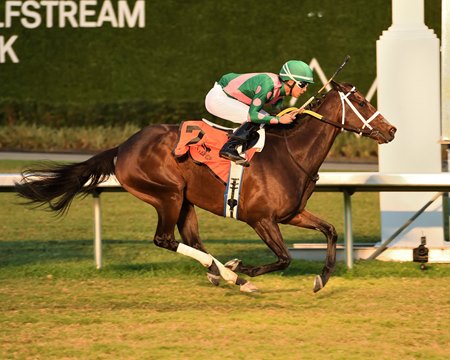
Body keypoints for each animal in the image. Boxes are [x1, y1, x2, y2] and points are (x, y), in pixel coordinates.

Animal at [15, 81, 396, 292]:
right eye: (362, 102)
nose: (391, 130)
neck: (291, 153)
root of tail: (122, 147)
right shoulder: (261, 219)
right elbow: (284, 257)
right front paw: (246, 269)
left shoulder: (293, 214)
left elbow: (331, 231)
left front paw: (322, 278)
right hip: (167, 194)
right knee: (165, 239)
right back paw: (234, 276)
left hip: (185, 200)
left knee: (192, 240)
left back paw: (223, 273)